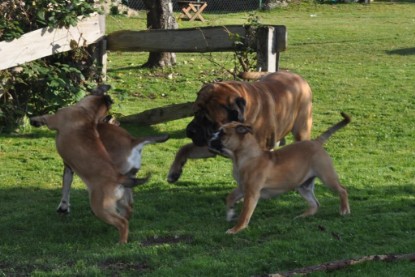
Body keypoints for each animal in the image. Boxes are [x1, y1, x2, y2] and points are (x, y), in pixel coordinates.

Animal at [168, 71, 312, 182]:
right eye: (195, 113)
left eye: (208, 120)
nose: (190, 131)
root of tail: (296, 75)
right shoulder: (210, 146)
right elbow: (184, 148)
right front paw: (174, 172)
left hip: (302, 130)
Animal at [208, 111, 352, 233]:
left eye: (223, 133)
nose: (210, 137)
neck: (243, 158)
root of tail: (316, 142)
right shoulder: (242, 187)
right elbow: (230, 196)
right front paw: (230, 213)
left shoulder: (251, 193)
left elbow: (245, 214)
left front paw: (236, 229)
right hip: (303, 186)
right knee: (315, 204)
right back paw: (302, 216)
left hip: (327, 177)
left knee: (342, 190)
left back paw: (344, 209)